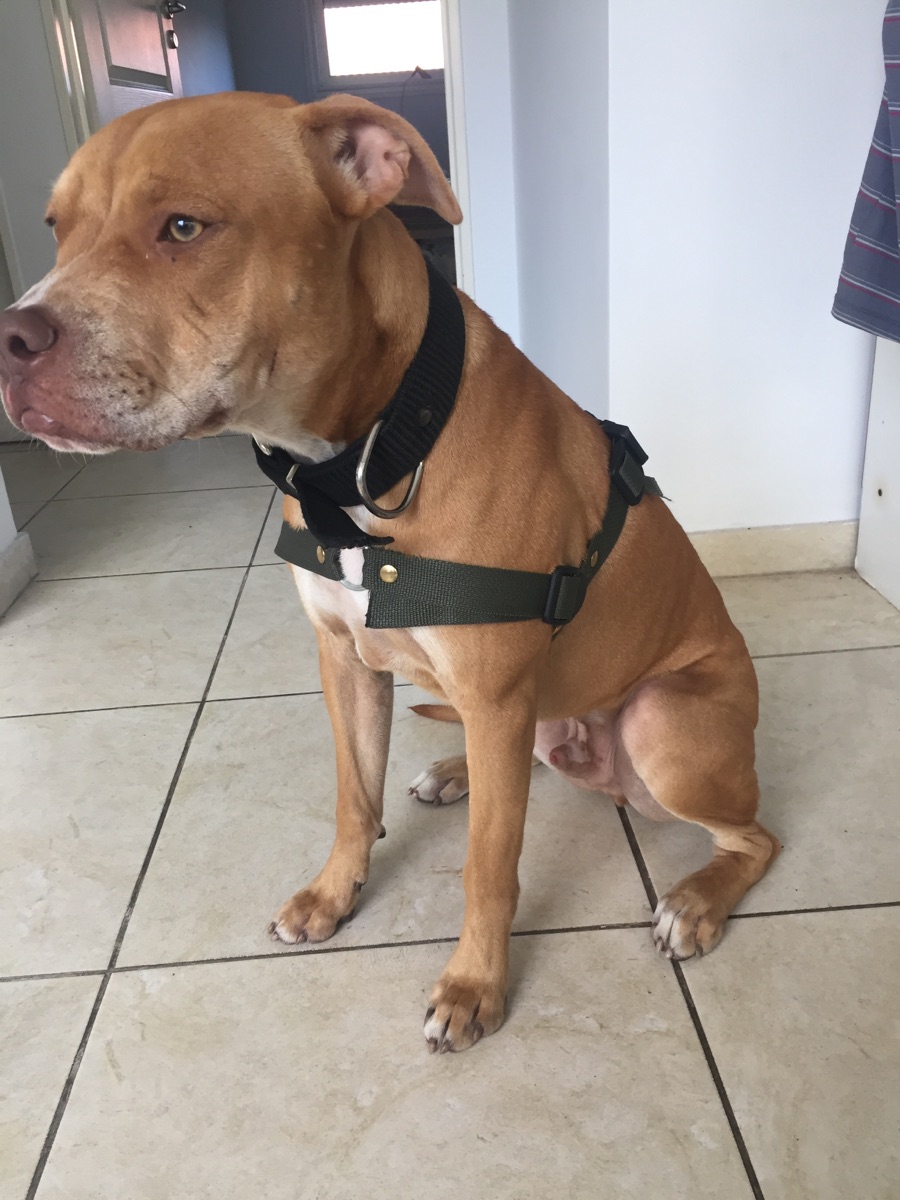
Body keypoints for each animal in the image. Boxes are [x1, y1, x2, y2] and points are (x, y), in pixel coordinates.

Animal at [0, 92, 780, 1053]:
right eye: (56, 229)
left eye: (182, 226)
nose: (9, 335)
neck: (378, 448)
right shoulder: (344, 658)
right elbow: (352, 795)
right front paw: (333, 895)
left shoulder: (494, 690)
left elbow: (490, 864)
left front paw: (475, 983)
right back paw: (454, 770)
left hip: (664, 727)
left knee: (754, 838)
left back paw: (696, 903)